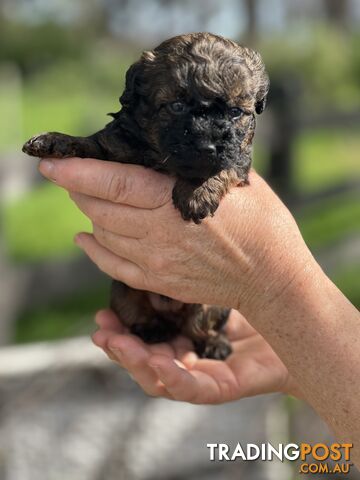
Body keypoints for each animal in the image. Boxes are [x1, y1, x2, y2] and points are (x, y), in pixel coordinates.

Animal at [22, 31, 268, 358]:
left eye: (235, 112)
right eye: (176, 106)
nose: (208, 146)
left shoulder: (239, 161)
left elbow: (224, 167)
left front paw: (197, 193)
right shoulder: (114, 147)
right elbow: (87, 143)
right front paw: (53, 140)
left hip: (213, 303)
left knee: (199, 325)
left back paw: (214, 343)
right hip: (122, 291)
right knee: (138, 313)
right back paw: (152, 329)